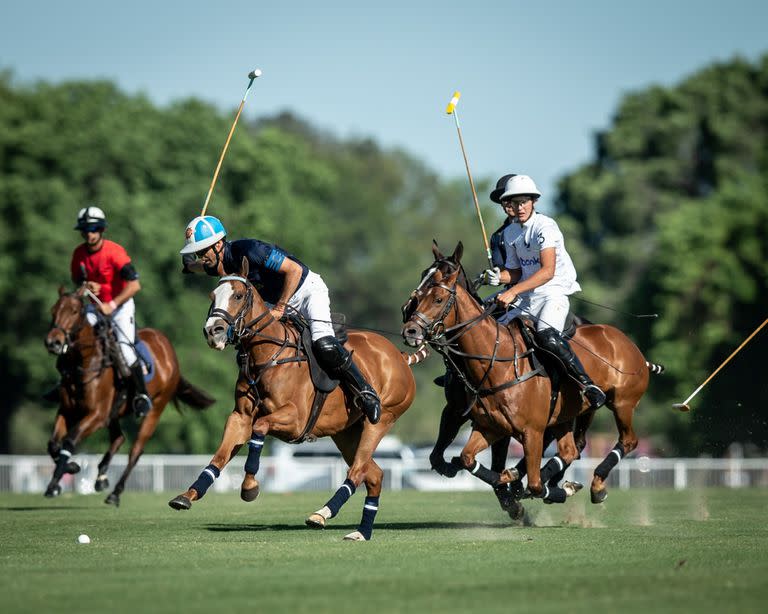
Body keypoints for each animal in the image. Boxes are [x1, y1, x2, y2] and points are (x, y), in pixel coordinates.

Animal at [44, 288, 214, 506]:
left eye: (74, 311)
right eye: (53, 310)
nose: (53, 342)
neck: (85, 364)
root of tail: (167, 347)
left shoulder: (97, 415)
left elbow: (70, 439)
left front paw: (63, 475)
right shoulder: (67, 410)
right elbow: (53, 444)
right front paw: (61, 478)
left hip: (155, 408)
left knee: (135, 451)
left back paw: (115, 493)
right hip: (114, 413)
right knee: (119, 438)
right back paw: (101, 477)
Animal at [170, 260, 420, 544]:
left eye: (238, 295)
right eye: (213, 296)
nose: (213, 331)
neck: (266, 355)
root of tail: (399, 356)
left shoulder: (296, 420)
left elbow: (259, 427)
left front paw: (249, 487)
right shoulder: (240, 416)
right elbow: (221, 455)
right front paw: (187, 496)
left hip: (381, 420)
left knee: (357, 471)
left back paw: (322, 513)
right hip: (346, 432)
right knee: (374, 475)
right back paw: (361, 532)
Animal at [400, 243, 664, 508]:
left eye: (438, 298)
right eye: (419, 290)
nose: (410, 330)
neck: (497, 360)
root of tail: (626, 341)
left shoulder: (530, 431)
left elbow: (533, 484)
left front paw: (519, 492)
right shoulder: (483, 422)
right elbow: (464, 458)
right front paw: (509, 484)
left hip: (622, 403)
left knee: (627, 441)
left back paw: (595, 484)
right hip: (575, 412)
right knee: (572, 448)